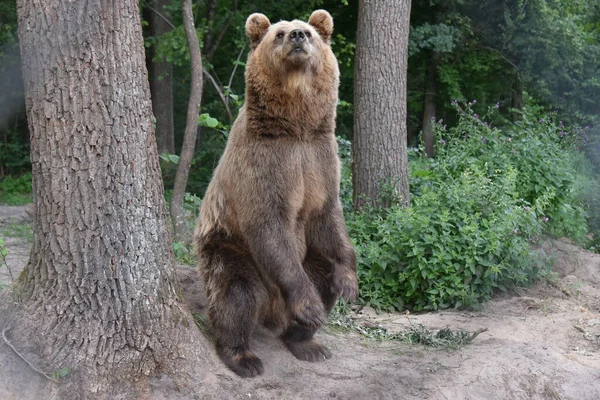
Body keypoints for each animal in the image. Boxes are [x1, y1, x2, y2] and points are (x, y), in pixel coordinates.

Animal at [195, 9, 358, 378]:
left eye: (309, 31)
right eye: (279, 33)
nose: (297, 35)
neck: (295, 127)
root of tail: (273, 310)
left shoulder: (319, 159)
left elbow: (328, 218)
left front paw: (349, 282)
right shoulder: (265, 165)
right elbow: (268, 226)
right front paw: (310, 306)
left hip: (306, 258)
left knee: (321, 274)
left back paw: (307, 342)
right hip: (228, 246)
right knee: (234, 293)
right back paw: (243, 356)